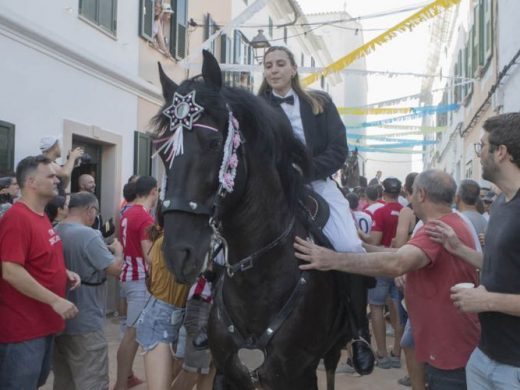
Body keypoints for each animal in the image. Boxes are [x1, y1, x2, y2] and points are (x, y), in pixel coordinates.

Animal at [152, 51, 352, 390]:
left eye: (214, 143)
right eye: (162, 150)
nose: (179, 254)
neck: (258, 283)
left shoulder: (300, 375)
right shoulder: (226, 374)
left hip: (331, 353)